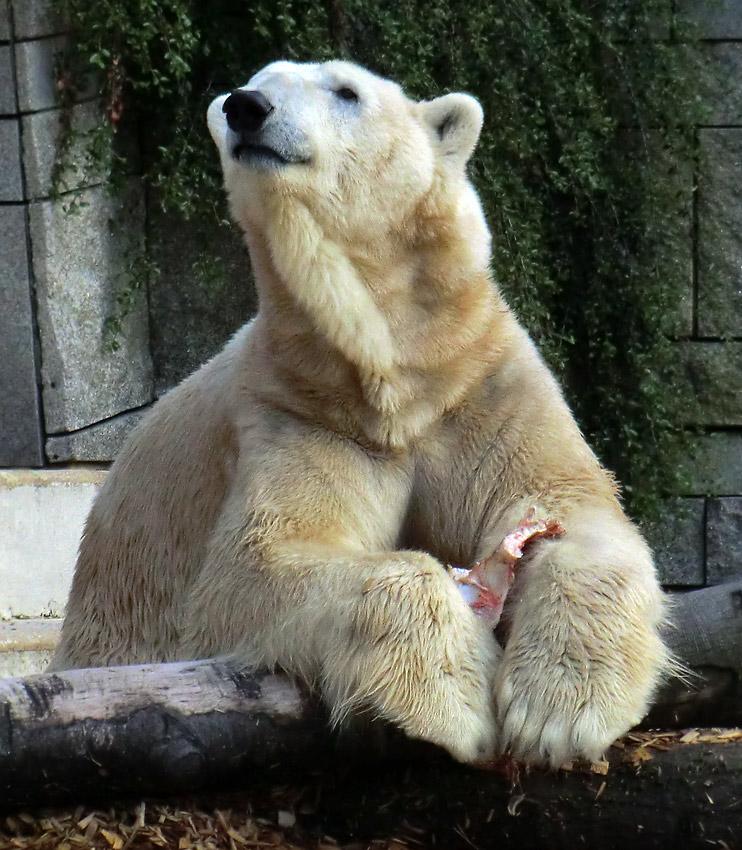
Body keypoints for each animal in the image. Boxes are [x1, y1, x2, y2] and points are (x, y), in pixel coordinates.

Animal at [49, 58, 672, 760]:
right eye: (257, 78)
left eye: (346, 91)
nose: (246, 106)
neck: (395, 373)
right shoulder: (302, 411)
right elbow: (258, 563)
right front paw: (453, 698)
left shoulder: (480, 386)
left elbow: (567, 509)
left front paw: (560, 710)